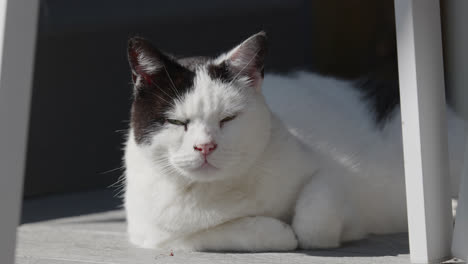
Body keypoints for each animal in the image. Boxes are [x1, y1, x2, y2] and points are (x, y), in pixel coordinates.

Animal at [123, 31, 464, 252]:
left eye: (228, 119)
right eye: (177, 122)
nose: (205, 147)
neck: (219, 190)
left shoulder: (332, 173)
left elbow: (312, 222)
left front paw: (339, 231)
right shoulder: (152, 234)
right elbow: (213, 234)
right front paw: (276, 230)